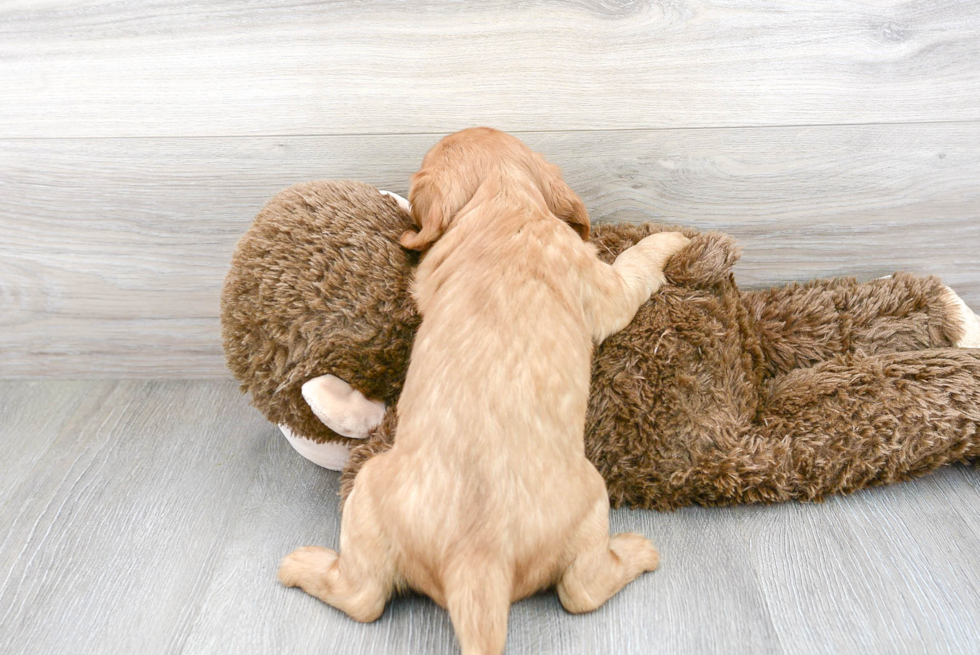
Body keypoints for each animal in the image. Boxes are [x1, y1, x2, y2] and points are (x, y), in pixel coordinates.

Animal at [276, 129, 688, 655]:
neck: (504, 203)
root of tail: (477, 560)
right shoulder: (606, 287)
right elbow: (635, 263)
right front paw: (668, 239)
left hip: (369, 495)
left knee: (365, 598)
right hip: (592, 499)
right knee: (581, 591)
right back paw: (639, 551)